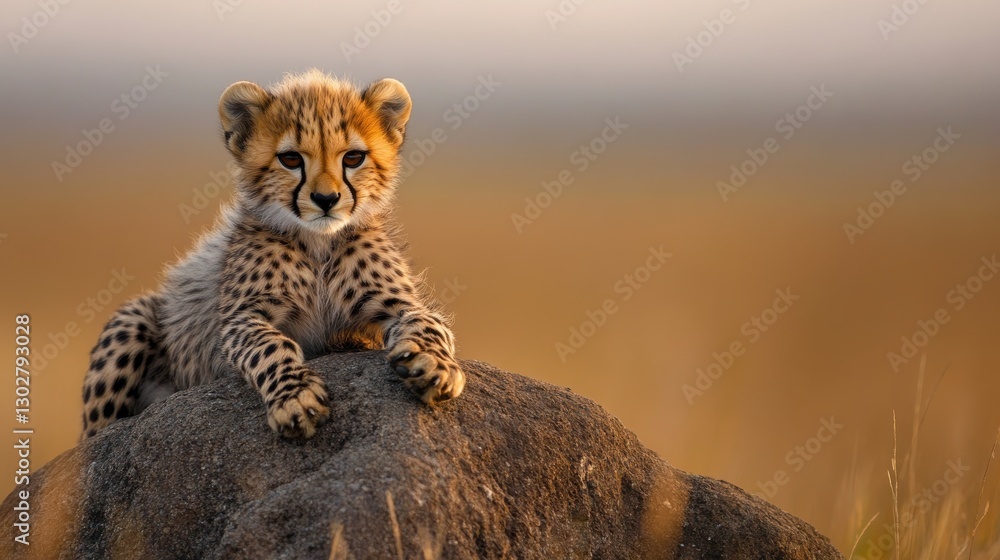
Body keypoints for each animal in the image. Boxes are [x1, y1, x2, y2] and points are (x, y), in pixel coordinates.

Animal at [80, 70, 465, 440]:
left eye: (353, 158)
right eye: (290, 159)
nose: (326, 199)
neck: (318, 244)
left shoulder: (398, 303)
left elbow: (429, 322)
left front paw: (436, 366)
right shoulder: (240, 318)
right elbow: (270, 345)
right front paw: (295, 398)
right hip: (137, 319)